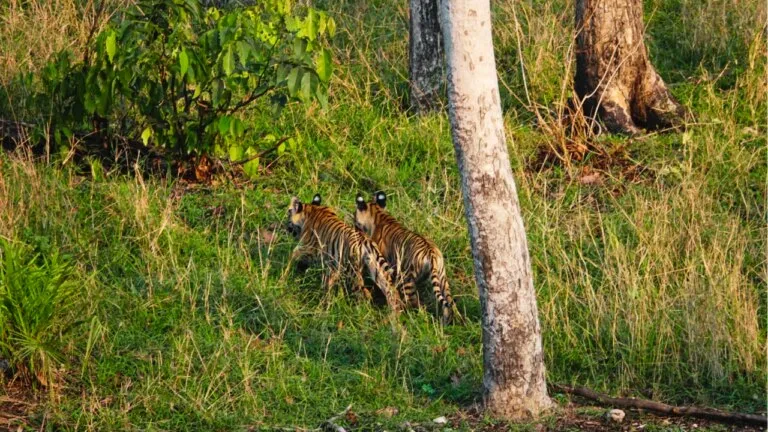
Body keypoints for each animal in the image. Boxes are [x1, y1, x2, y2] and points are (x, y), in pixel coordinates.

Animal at [353, 191, 456, 324]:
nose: (354, 226)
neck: (378, 213)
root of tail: (431, 253)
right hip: (442, 278)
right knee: (449, 304)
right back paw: (446, 324)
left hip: (406, 279)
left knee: (416, 305)